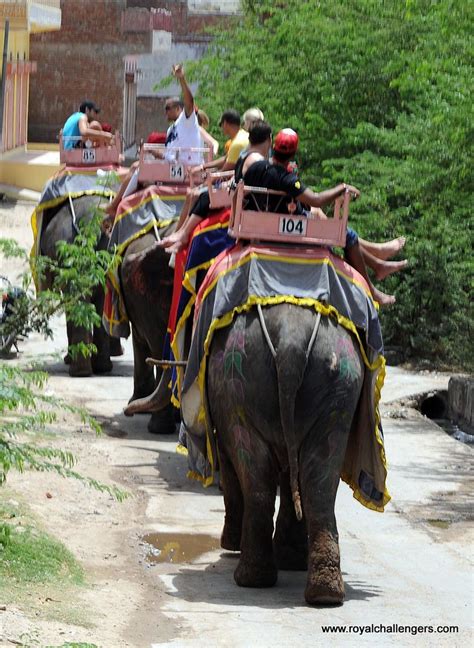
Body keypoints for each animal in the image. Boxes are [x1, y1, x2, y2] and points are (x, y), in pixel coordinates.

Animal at [206, 302, 364, 604]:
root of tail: (291, 341)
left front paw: (231, 545)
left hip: (236, 385)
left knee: (254, 476)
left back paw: (251, 578)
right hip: (340, 387)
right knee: (319, 481)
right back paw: (324, 593)